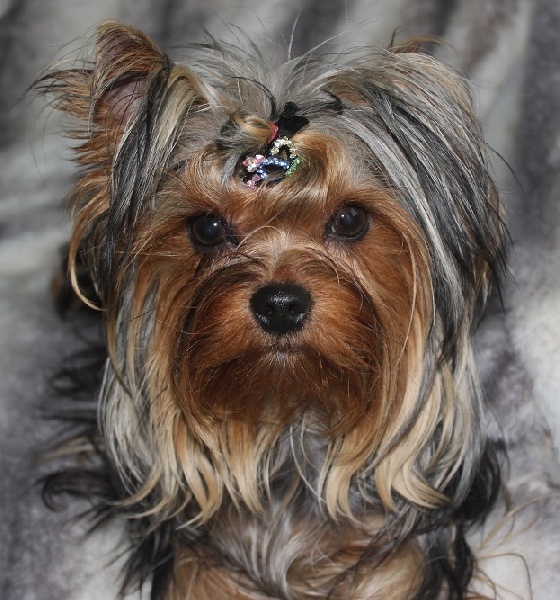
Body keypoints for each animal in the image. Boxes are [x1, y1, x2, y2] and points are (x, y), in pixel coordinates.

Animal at [38, 20, 505, 599]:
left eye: (350, 219)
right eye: (207, 227)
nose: (280, 305)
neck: (285, 417)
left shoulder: (410, 530)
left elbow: (399, 566)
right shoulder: (191, 537)